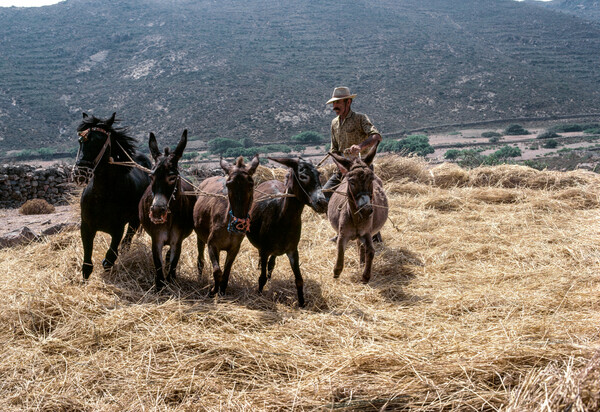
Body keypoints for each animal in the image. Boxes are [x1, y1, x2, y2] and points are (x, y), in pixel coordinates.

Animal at [138, 130, 195, 288]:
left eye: (172, 177)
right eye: (151, 176)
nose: (157, 211)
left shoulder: (177, 240)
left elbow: (174, 262)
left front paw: (171, 282)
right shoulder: (156, 239)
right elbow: (158, 265)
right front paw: (159, 286)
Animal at [192, 155, 258, 296]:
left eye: (251, 184)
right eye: (228, 184)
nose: (239, 224)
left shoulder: (234, 248)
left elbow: (226, 271)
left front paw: (222, 290)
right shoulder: (212, 244)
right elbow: (217, 271)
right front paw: (213, 291)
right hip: (200, 237)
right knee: (200, 259)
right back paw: (200, 279)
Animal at [245, 157, 326, 306]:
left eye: (319, 174)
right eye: (303, 176)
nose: (323, 203)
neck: (283, 218)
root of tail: (271, 180)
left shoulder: (293, 250)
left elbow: (299, 280)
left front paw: (302, 303)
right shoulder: (264, 250)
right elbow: (261, 278)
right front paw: (258, 296)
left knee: (272, 263)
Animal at [328, 145, 390, 284]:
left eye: (371, 180)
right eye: (352, 182)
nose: (366, 210)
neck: (356, 218)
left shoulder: (366, 232)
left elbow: (371, 251)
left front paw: (365, 276)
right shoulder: (343, 234)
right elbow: (340, 251)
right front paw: (336, 272)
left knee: (362, 246)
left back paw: (362, 262)